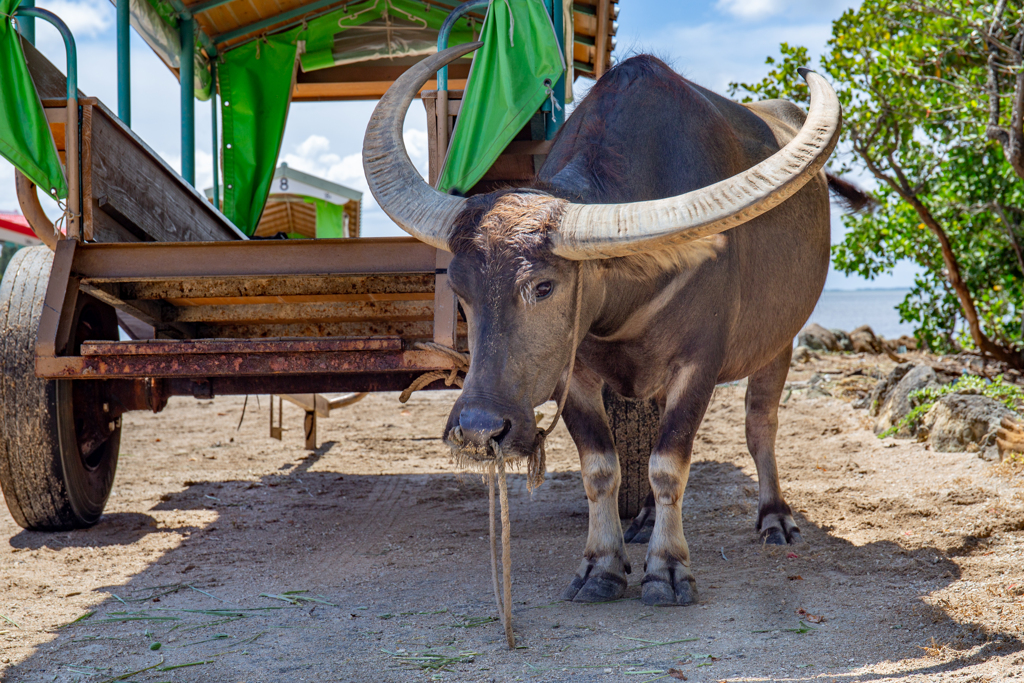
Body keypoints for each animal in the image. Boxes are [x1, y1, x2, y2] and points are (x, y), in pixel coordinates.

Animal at [364, 45, 843, 606]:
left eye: (543, 286)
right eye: (460, 292)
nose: (480, 429)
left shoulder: (698, 365)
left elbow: (669, 463)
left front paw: (667, 569)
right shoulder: (573, 377)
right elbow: (600, 469)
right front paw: (602, 565)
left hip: (779, 342)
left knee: (759, 423)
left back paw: (774, 518)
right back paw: (647, 519)